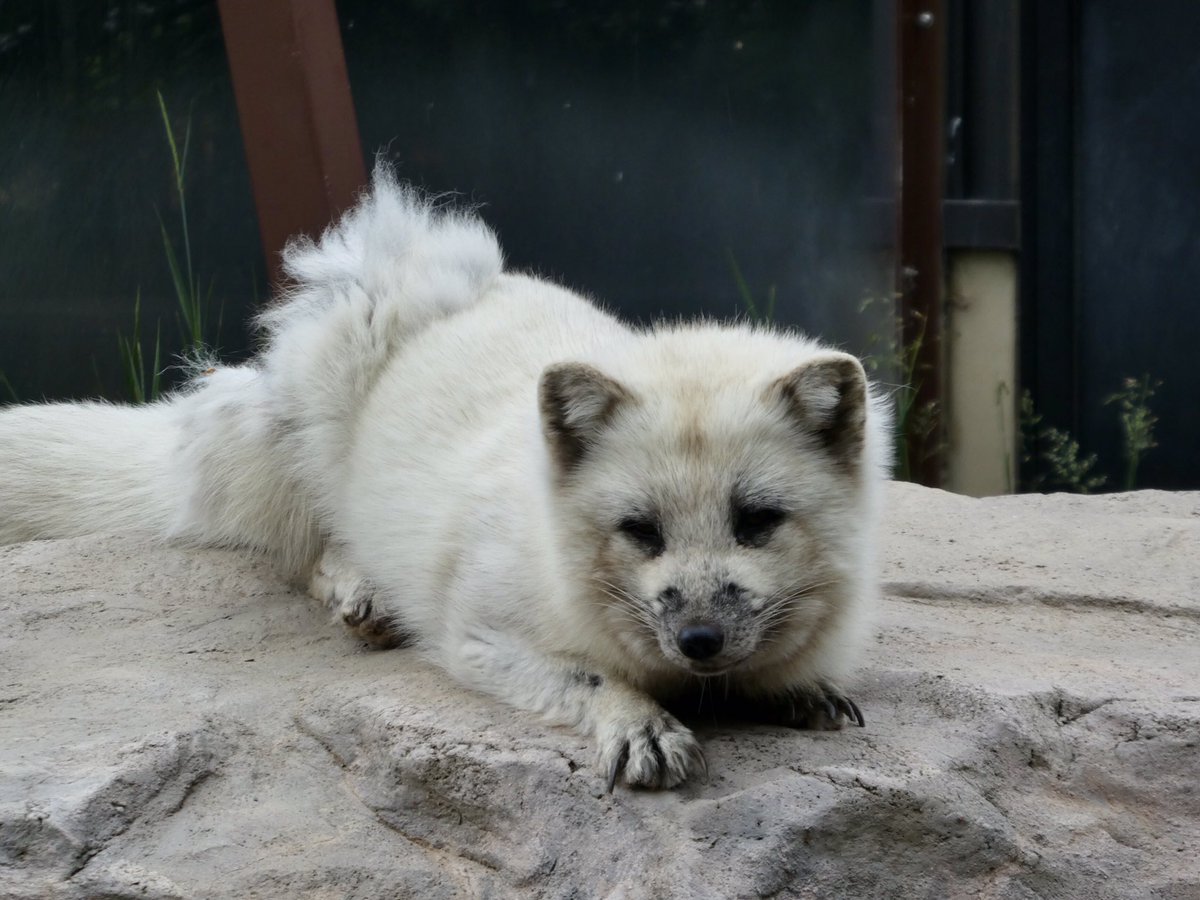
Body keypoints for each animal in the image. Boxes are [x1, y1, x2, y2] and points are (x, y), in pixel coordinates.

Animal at [0, 169, 892, 787]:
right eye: (640, 531)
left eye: (757, 521)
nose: (699, 639)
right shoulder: (479, 635)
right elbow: (591, 675)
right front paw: (640, 726)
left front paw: (798, 689)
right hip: (299, 410)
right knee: (304, 549)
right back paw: (363, 594)